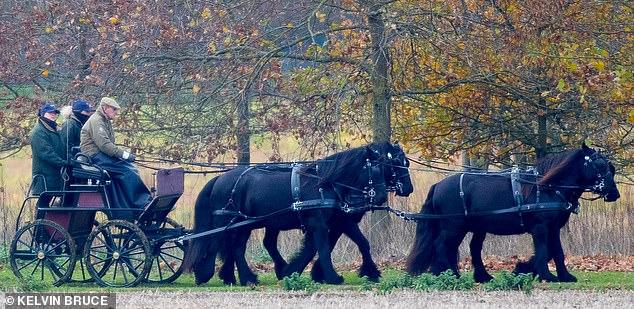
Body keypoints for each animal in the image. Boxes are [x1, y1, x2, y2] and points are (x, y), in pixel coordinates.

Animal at [185, 142, 388, 284]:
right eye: (373, 169)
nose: (382, 197)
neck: (323, 185)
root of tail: (219, 178)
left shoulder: (339, 220)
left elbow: (359, 242)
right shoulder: (319, 223)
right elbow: (322, 248)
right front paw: (332, 277)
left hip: (244, 225)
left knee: (236, 248)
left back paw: (244, 278)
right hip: (229, 222)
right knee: (220, 246)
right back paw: (216, 275)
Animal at [404, 144, 616, 282]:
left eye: (610, 167)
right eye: (600, 165)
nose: (614, 194)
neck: (548, 186)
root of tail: (438, 185)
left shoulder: (554, 228)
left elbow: (556, 251)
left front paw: (560, 275)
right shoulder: (540, 228)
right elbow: (544, 251)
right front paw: (545, 275)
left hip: (474, 228)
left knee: (470, 248)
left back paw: (481, 276)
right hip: (453, 227)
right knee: (441, 245)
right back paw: (447, 274)